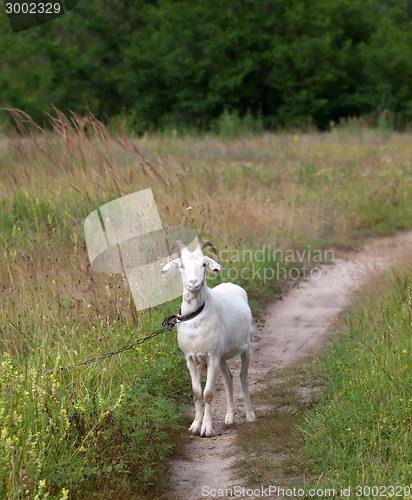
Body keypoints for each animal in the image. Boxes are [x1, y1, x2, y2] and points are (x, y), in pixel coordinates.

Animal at [161, 240, 254, 436]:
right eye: (181, 266)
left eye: (204, 264)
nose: (193, 282)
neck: (197, 316)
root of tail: (232, 285)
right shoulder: (190, 359)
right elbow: (196, 393)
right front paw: (195, 425)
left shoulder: (212, 357)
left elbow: (208, 393)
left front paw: (206, 428)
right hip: (223, 357)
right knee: (229, 379)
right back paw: (230, 417)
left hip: (246, 348)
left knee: (243, 377)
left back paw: (250, 415)